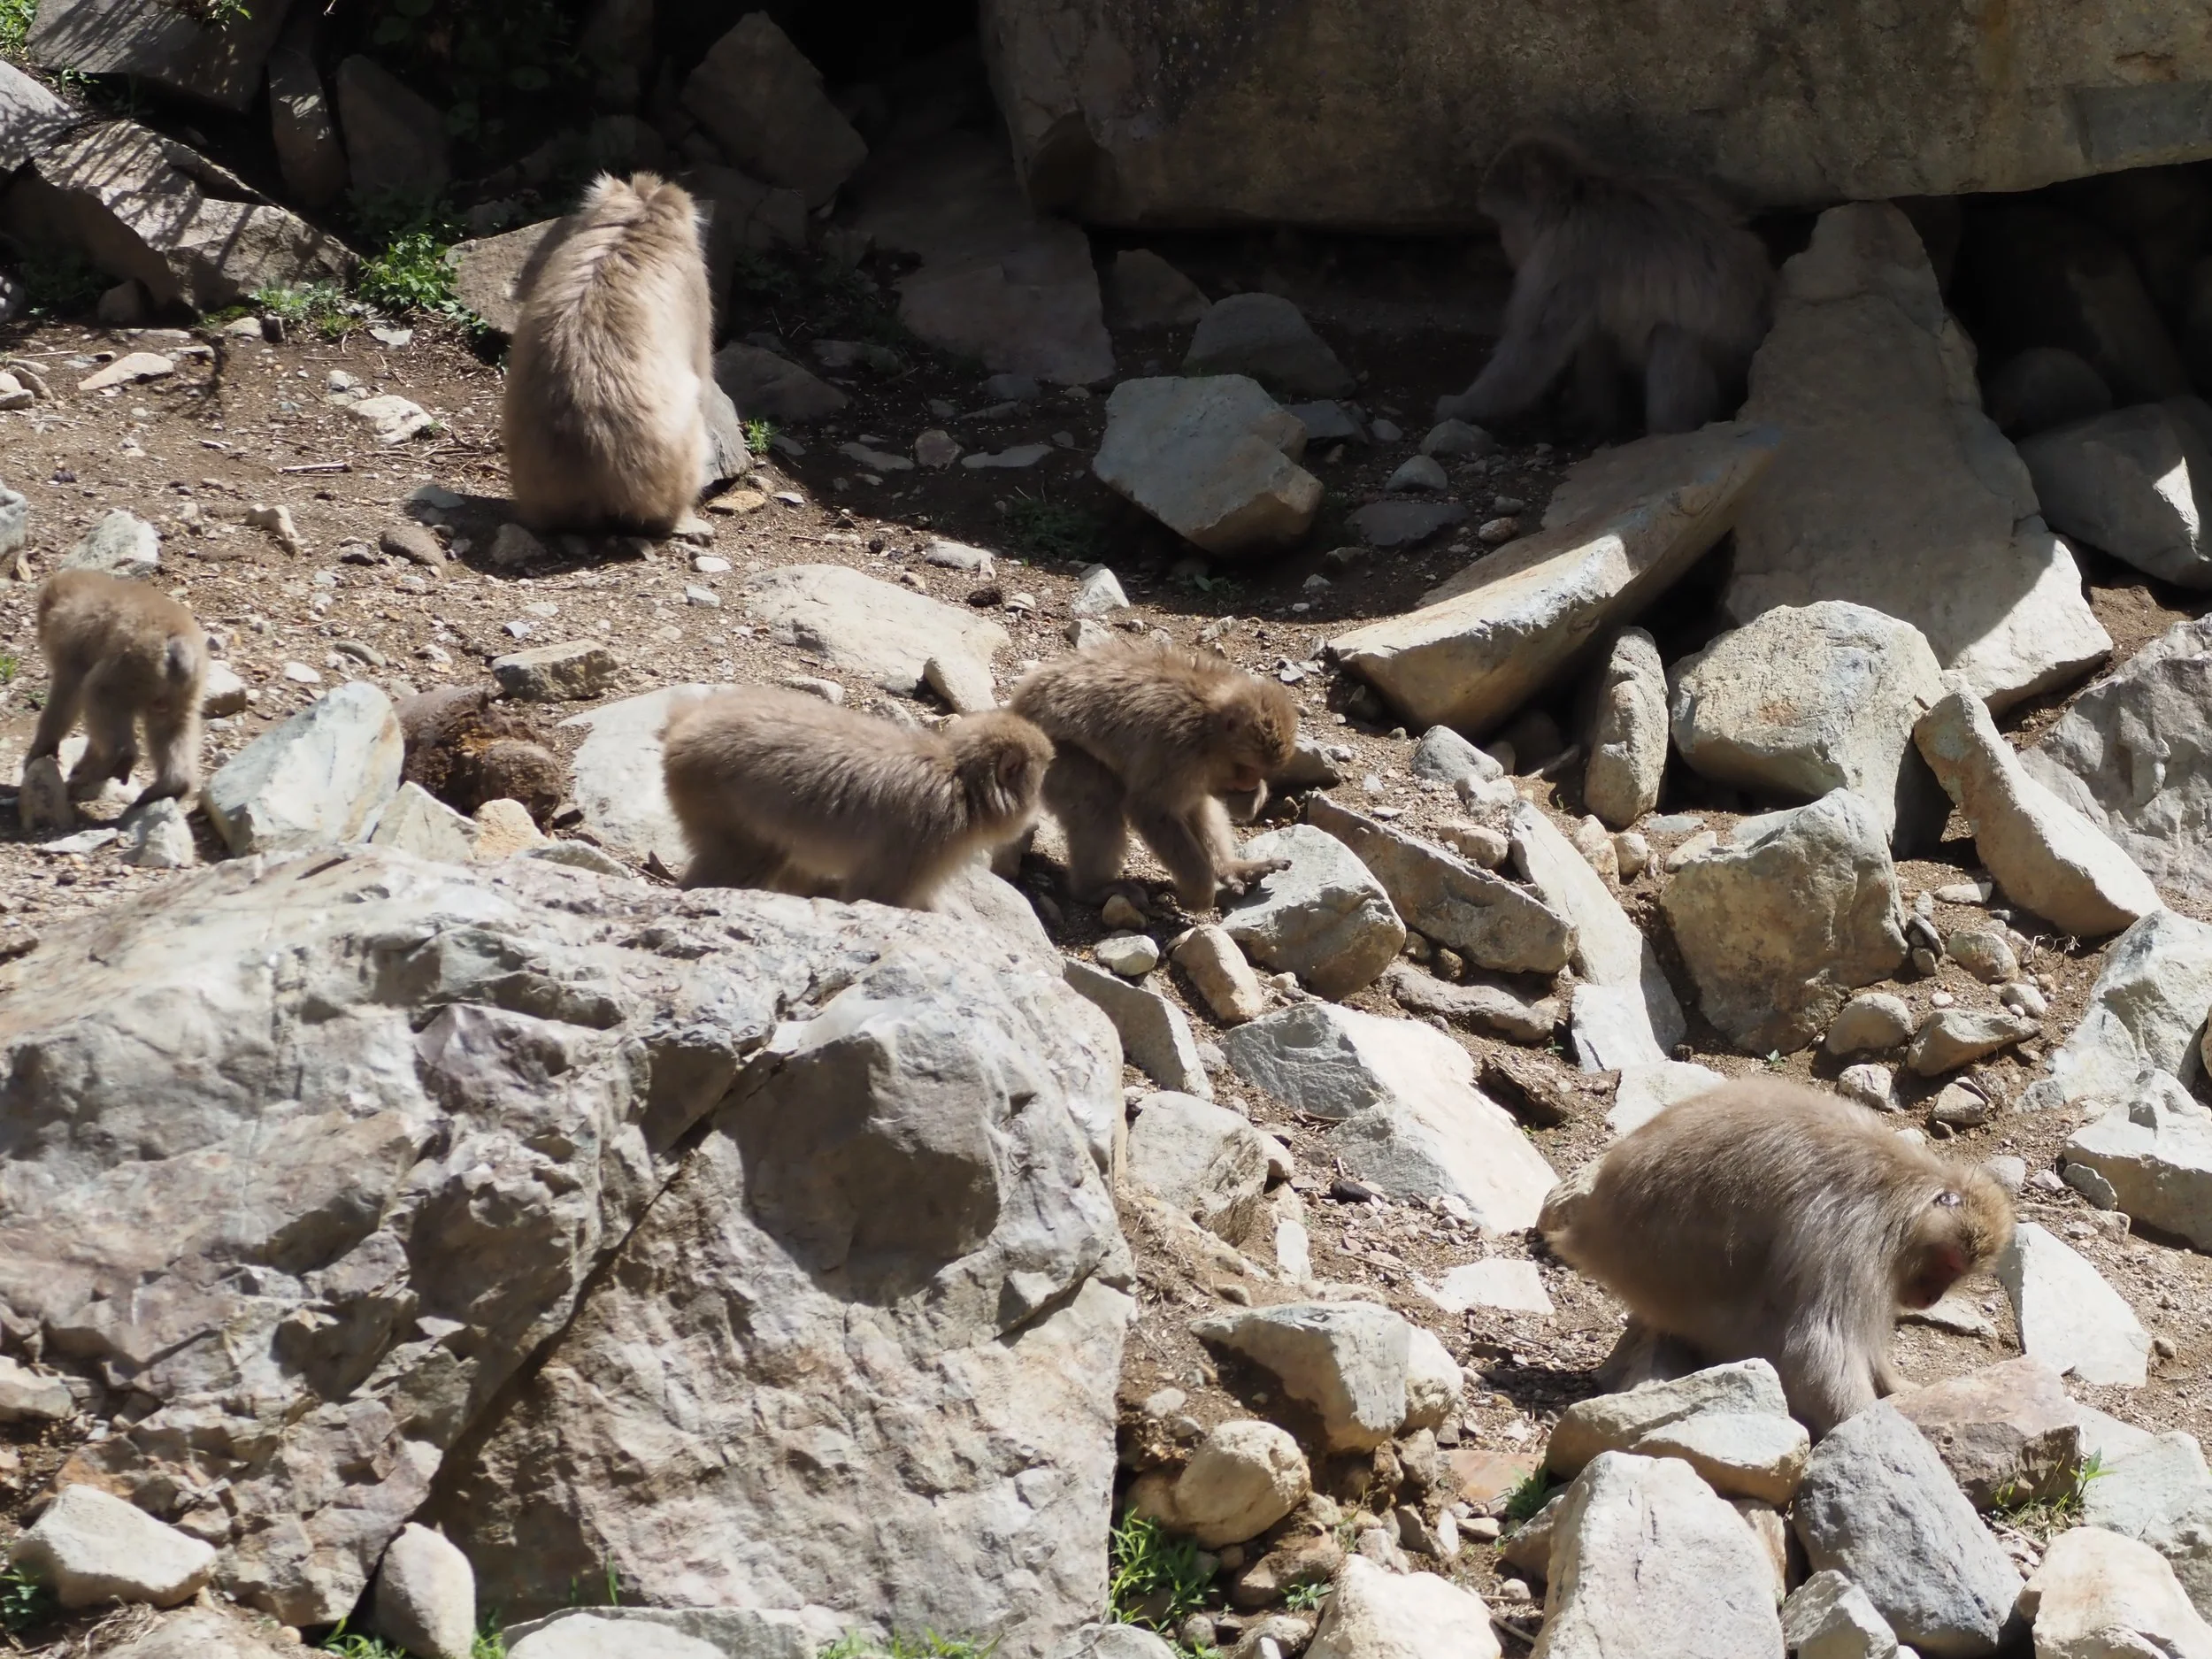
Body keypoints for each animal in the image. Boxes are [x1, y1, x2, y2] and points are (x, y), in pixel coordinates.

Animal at [26, 569, 207, 806]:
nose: (39, 632)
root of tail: (179, 645)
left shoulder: (69, 645)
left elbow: (67, 694)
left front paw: (41, 749)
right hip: (182, 688)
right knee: (172, 724)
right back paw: (171, 786)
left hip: (132, 666)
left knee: (99, 692)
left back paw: (117, 761)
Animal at [659, 687, 1054, 907]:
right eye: (1040, 777)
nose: (1038, 808)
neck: (961, 781)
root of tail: (686, 724)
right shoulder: (926, 836)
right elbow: (878, 894)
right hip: (713, 800)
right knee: (746, 857)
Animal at [1008, 640, 1299, 913]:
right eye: (1246, 767)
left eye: (1259, 771)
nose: (1250, 783)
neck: (1209, 727)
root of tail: (1018, 707)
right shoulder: (1177, 750)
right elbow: (1149, 809)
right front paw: (1200, 892)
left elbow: (1198, 801)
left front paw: (1253, 799)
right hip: (1054, 756)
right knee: (1099, 801)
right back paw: (1094, 889)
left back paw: (1231, 867)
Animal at [1435, 133, 1775, 439]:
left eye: (1502, 223)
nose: (1506, 245)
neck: (1575, 201)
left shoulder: (1569, 253)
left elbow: (1535, 346)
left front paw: (1463, 406)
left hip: (1731, 362)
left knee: (1674, 338)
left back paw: (1667, 430)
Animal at [1541, 1079, 2014, 1435]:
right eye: (1950, 1265)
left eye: (1956, 1276)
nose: (1933, 1297)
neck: (1904, 1197)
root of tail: (1589, 1227)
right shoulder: (1853, 1240)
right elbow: (1818, 1343)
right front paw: (1862, 1422)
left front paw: (1894, 1385)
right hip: (1671, 1286)